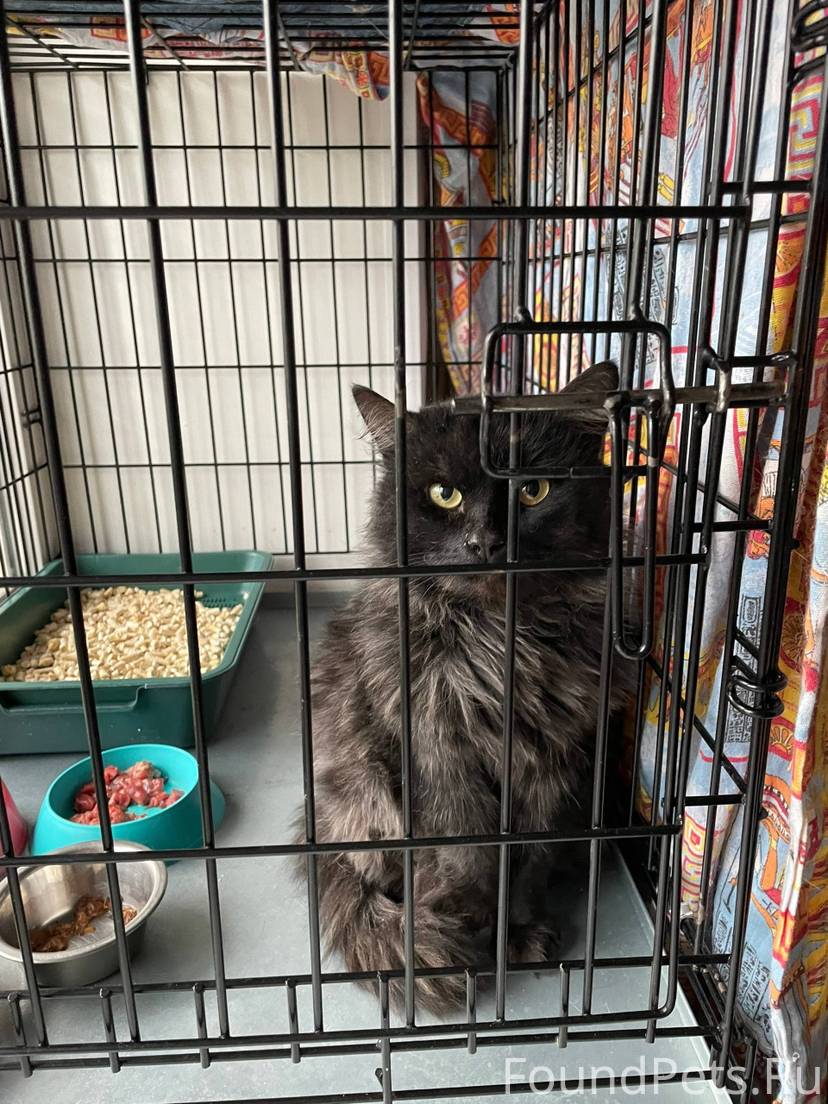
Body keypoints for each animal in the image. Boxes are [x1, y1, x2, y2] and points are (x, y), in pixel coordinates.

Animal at [299, 360, 629, 1014]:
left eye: (533, 490)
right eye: (443, 495)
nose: (486, 543)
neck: (500, 641)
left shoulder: (548, 762)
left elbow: (527, 859)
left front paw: (518, 931)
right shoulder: (437, 752)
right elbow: (469, 854)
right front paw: (466, 929)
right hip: (366, 790)